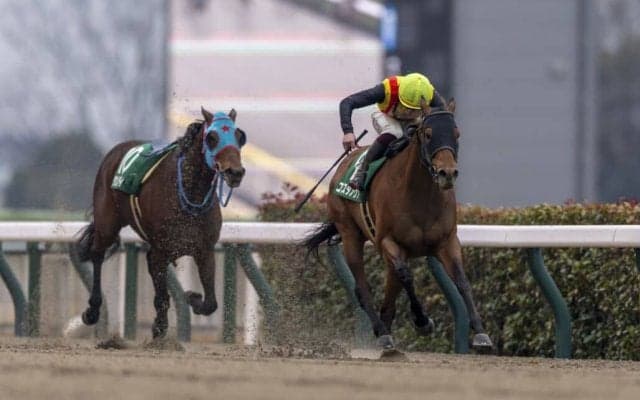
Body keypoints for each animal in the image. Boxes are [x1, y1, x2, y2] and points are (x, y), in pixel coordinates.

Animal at [73, 107, 247, 339]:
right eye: (212, 137)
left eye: (239, 136)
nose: (235, 172)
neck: (189, 195)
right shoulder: (160, 250)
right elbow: (162, 295)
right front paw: (159, 326)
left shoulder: (204, 249)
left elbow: (211, 302)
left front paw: (192, 297)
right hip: (107, 224)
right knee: (97, 254)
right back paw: (92, 310)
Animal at [303, 99, 493, 352]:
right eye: (428, 133)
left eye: (456, 133)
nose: (447, 173)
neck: (421, 196)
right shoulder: (389, 242)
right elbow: (407, 277)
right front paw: (422, 322)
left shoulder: (447, 241)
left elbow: (462, 281)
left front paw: (481, 333)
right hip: (350, 233)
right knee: (363, 286)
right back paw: (382, 332)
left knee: (388, 291)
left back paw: (384, 326)